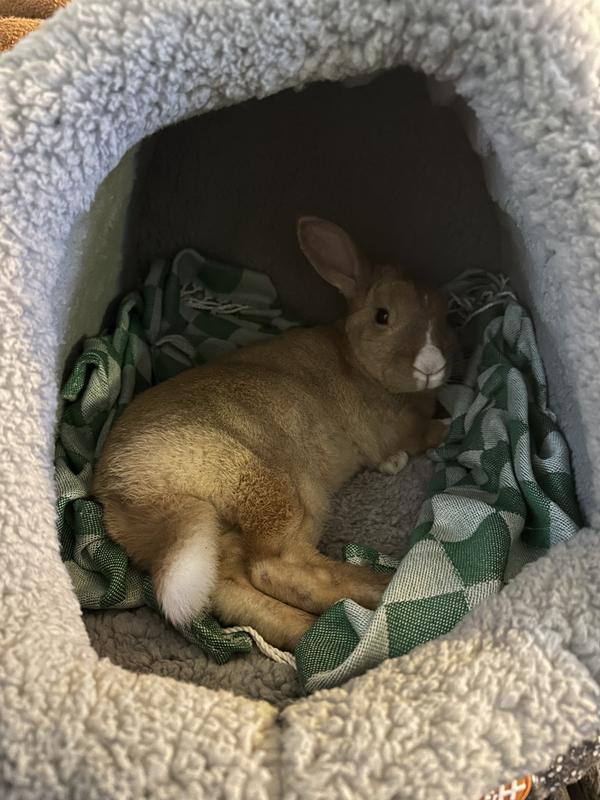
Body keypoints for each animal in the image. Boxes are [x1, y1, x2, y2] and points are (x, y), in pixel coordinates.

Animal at [92, 217, 454, 652]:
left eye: (445, 312)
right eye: (382, 316)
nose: (433, 366)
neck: (356, 362)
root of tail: (129, 489)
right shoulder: (390, 431)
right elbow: (416, 438)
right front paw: (446, 427)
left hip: (228, 533)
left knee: (231, 586)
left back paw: (302, 630)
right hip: (281, 493)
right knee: (275, 567)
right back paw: (376, 588)